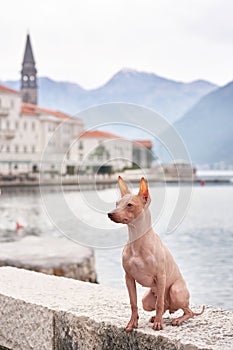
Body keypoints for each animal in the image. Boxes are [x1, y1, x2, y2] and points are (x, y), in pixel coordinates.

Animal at [107, 176, 204, 332]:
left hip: (175, 291)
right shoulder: (129, 278)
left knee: (186, 311)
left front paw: (158, 324)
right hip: (147, 300)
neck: (137, 242)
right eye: (117, 204)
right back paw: (156, 317)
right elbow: (133, 303)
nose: (110, 213)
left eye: (129, 205)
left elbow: (159, 305)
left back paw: (176, 319)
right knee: (164, 306)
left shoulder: (161, 276)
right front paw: (132, 323)